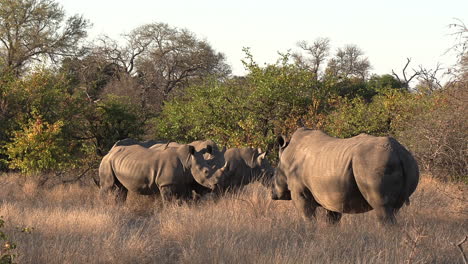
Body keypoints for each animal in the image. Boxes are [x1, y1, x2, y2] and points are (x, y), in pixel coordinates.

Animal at [270, 127, 420, 224]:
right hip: (410, 162)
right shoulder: (331, 195)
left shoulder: (300, 192)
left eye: (275, 174)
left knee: (383, 208)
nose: (272, 194)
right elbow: (332, 219)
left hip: (374, 163)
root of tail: (398, 152)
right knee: (394, 209)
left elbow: (307, 217)